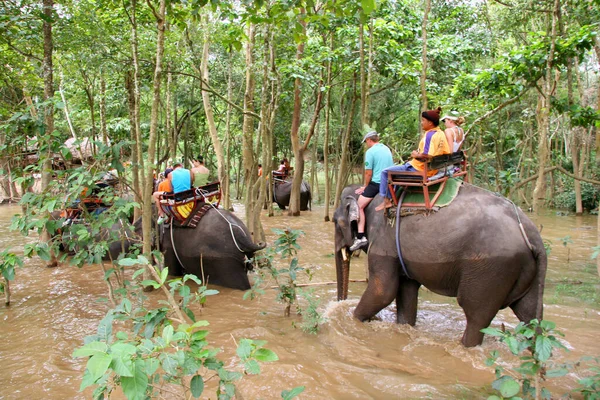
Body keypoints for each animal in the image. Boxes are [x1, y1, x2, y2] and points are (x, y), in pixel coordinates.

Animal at [332, 183, 548, 346]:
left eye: (334, 221)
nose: (341, 303)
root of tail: (533, 236)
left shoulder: (384, 241)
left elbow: (383, 291)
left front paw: (351, 318)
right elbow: (406, 291)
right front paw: (403, 326)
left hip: (491, 270)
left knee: (476, 315)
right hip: (526, 272)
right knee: (529, 314)